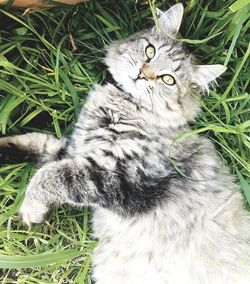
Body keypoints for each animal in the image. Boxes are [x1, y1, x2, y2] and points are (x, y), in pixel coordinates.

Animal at [0, 2, 250, 284]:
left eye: (168, 79)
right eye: (150, 51)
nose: (143, 73)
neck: (124, 104)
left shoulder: (121, 177)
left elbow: (48, 176)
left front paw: (32, 209)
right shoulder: (76, 149)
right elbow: (39, 147)